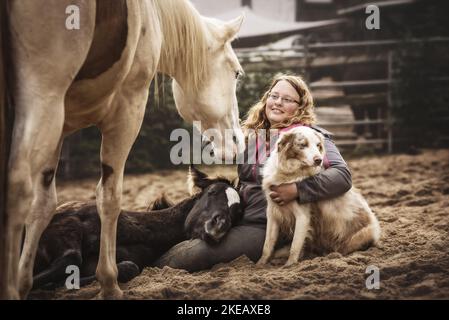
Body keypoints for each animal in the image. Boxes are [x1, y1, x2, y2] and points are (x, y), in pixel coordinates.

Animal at [258, 126, 380, 266]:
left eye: (318, 145)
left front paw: (290, 265)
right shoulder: (272, 213)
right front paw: (260, 264)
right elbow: (267, 245)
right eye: (303, 145)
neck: (289, 173)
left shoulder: (303, 216)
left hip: (365, 234)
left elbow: (295, 245)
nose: (319, 160)